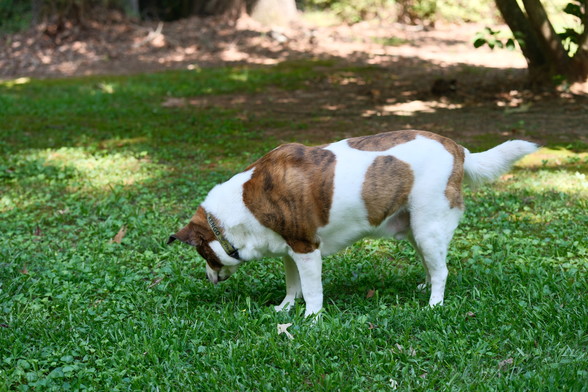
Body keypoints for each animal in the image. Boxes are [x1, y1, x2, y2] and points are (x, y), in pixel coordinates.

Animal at [167, 130, 536, 316]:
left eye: (203, 254)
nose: (209, 278)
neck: (245, 202)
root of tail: (458, 149)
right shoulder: (290, 251)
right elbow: (292, 285)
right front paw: (285, 308)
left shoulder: (307, 250)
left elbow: (312, 291)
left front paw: (309, 320)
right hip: (415, 228)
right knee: (433, 264)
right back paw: (425, 286)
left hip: (428, 225)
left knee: (443, 270)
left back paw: (434, 304)